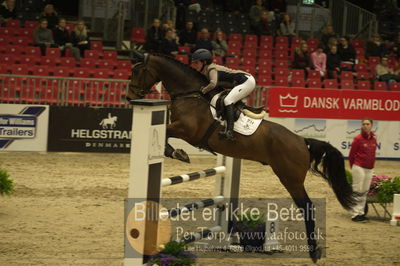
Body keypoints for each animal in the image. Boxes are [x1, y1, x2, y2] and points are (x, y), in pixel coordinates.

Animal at [127, 51, 356, 262]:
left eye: (137, 71)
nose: (129, 97)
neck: (190, 95)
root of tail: (302, 141)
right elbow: (165, 134)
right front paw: (178, 153)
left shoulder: (186, 130)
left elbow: (165, 133)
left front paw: (178, 153)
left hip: (290, 179)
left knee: (307, 207)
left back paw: (313, 251)